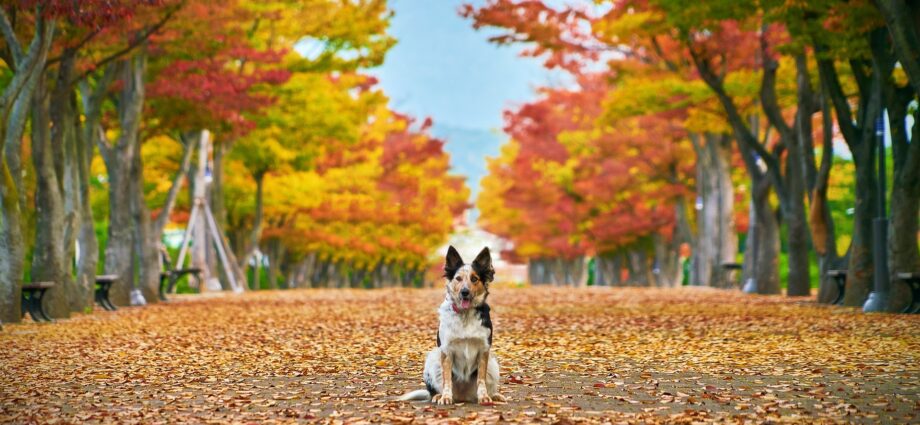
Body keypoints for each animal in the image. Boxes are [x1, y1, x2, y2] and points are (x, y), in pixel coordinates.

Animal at [398, 245, 506, 404]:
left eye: (474, 279)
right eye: (458, 278)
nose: (464, 292)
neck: (465, 314)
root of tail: (463, 397)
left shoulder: (484, 350)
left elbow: (481, 380)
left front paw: (484, 397)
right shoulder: (446, 351)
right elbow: (447, 380)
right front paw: (445, 397)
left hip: (493, 363)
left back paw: (494, 395)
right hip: (433, 358)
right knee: (436, 388)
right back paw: (437, 396)